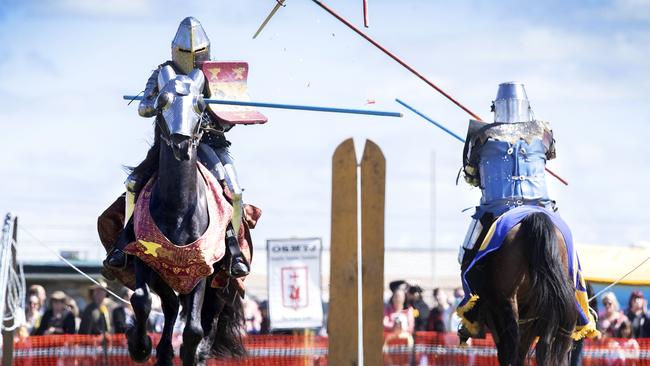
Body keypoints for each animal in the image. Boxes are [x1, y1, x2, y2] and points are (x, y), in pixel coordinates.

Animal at [118, 66, 243, 366]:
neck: (178, 210)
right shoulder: (146, 257)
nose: (181, 143)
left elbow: (194, 330)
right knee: (172, 305)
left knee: (208, 318)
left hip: (219, 284)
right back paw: (163, 353)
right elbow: (141, 300)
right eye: (162, 101)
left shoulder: (202, 267)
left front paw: (190, 353)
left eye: (200, 105)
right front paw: (139, 346)